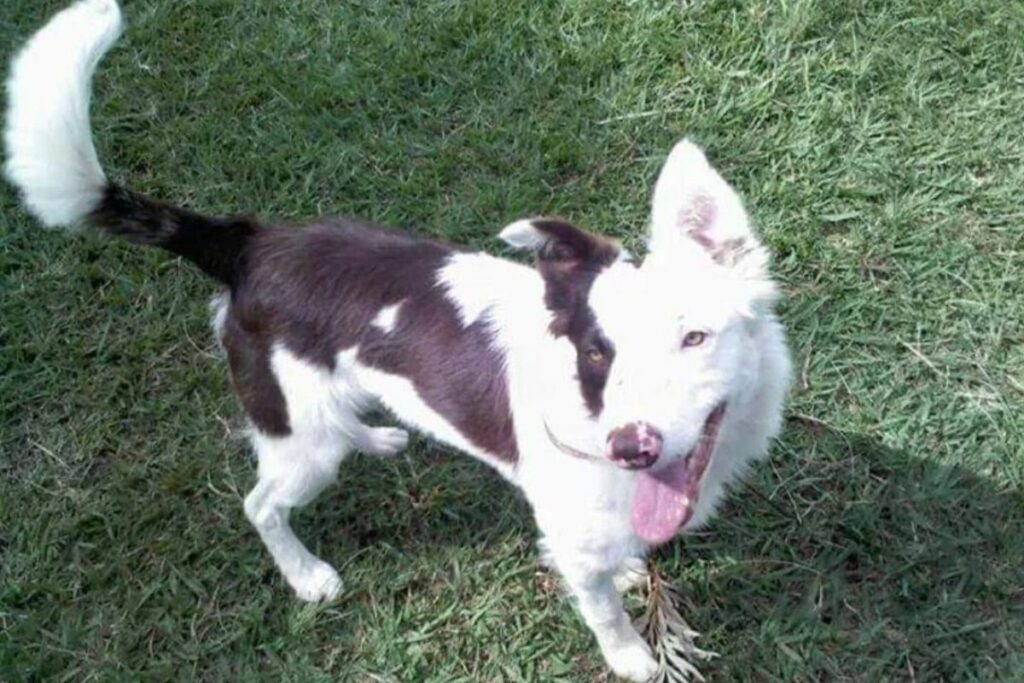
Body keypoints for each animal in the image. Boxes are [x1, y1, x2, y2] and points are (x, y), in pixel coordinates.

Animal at [2, 2, 790, 679]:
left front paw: (628, 569)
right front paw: (631, 656)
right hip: (297, 440)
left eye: (694, 337)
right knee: (261, 504)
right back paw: (306, 574)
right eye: (597, 354)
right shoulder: (571, 526)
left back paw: (374, 436)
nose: (631, 446)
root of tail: (249, 244)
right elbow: (601, 610)